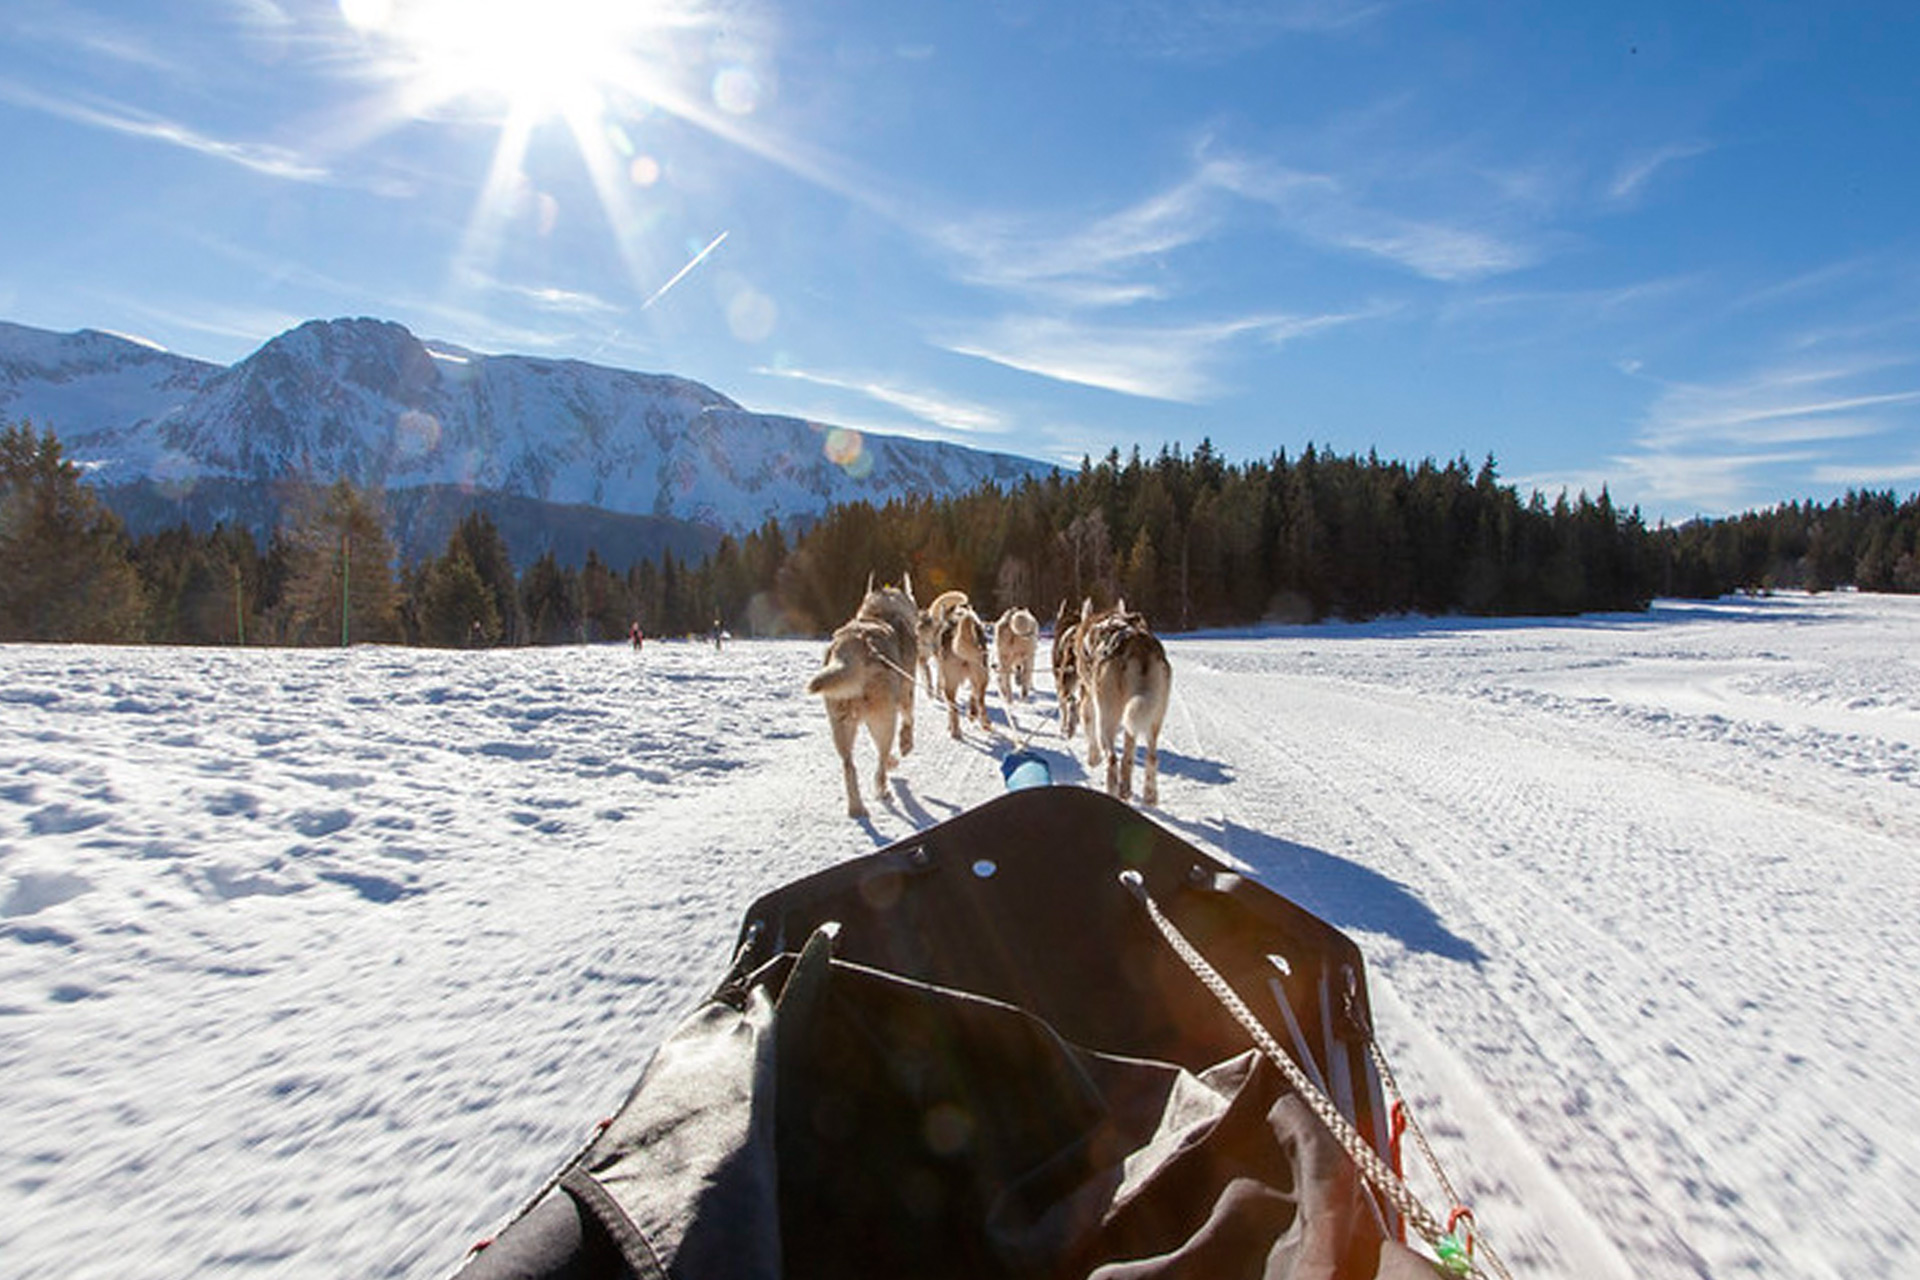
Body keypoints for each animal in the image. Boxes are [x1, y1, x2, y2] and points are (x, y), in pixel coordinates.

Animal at [802, 571, 921, 817]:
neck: (882, 613)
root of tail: (851, 646)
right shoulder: (907, 690)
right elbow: (909, 719)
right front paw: (906, 745)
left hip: (841, 725)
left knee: (849, 765)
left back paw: (856, 807)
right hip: (884, 718)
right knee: (881, 759)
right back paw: (883, 788)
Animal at [1082, 606, 1167, 805]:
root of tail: (1138, 643)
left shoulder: (1089, 699)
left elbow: (1089, 728)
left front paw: (1093, 758)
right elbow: (1128, 754)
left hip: (1107, 718)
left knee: (1112, 759)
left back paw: (1112, 792)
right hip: (1153, 717)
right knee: (1151, 757)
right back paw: (1148, 795)